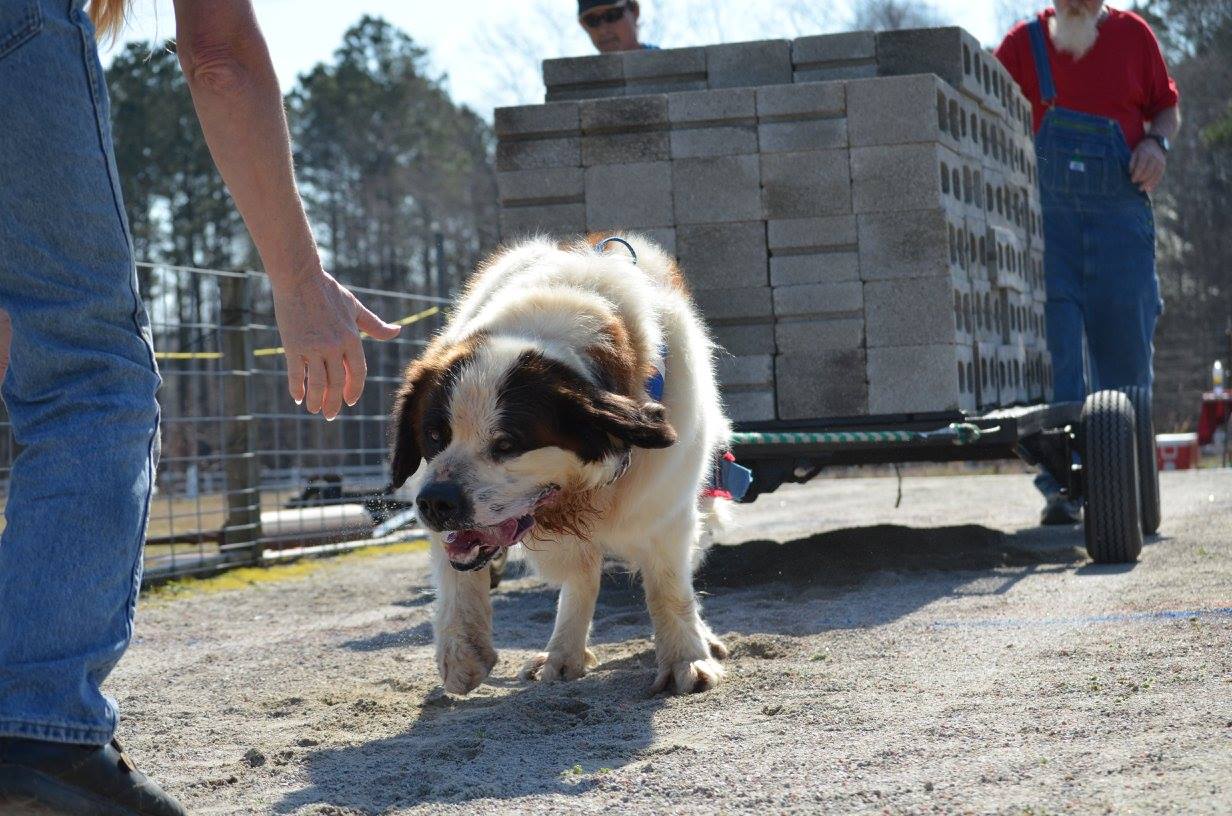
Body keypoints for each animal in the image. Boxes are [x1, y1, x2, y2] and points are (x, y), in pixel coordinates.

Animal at [386, 231, 729, 695]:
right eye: (435, 435)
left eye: (507, 444)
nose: (436, 502)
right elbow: (458, 570)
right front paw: (462, 648)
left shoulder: (666, 505)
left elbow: (669, 587)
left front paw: (686, 657)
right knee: (581, 575)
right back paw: (563, 653)